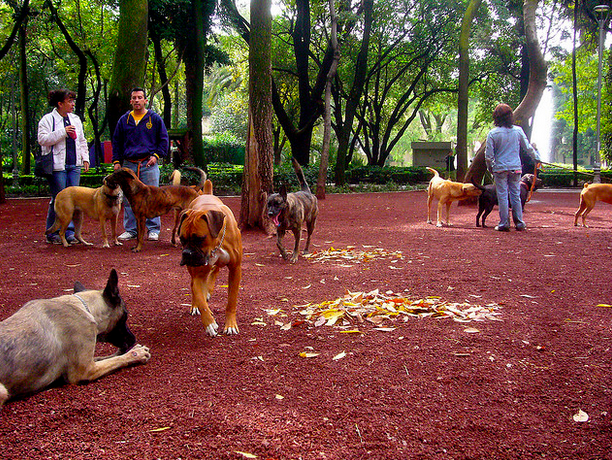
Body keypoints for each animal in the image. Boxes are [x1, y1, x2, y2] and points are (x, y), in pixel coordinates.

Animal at [177, 181, 241, 338]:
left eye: (200, 239)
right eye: (182, 239)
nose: (187, 253)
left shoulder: (235, 270)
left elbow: (231, 300)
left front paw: (230, 325)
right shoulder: (198, 274)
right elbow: (200, 299)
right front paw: (209, 323)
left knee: (214, 271)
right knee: (194, 286)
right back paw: (196, 304)